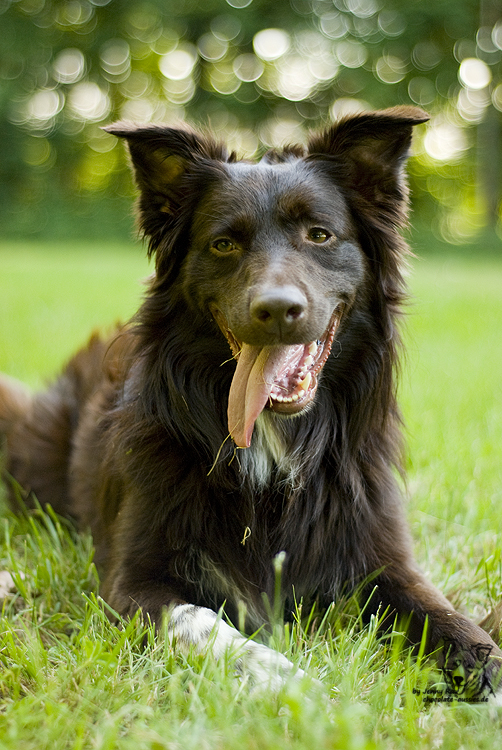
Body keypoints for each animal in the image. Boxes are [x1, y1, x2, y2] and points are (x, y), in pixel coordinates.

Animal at [0, 107, 500, 700]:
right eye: (224, 245)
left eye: (320, 235)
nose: (277, 309)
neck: (271, 444)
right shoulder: (131, 583)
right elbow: (201, 621)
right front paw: (282, 678)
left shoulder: (383, 557)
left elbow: (448, 618)